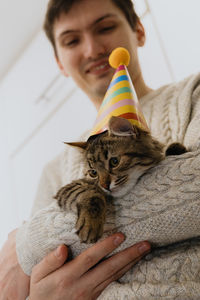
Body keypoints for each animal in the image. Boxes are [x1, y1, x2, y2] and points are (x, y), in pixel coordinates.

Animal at [54, 116, 186, 243]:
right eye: (93, 173)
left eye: (114, 162)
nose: (105, 186)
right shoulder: (69, 188)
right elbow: (91, 193)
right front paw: (90, 223)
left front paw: (175, 149)